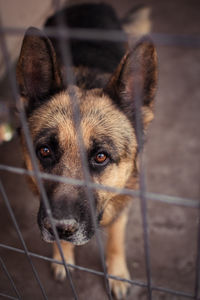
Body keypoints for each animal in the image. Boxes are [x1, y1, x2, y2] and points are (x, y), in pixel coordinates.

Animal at [16, 2, 157, 300]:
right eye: (44, 151)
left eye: (100, 157)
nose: (59, 229)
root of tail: (85, 4)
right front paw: (63, 256)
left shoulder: (124, 197)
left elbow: (116, 237)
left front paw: (116, 272)